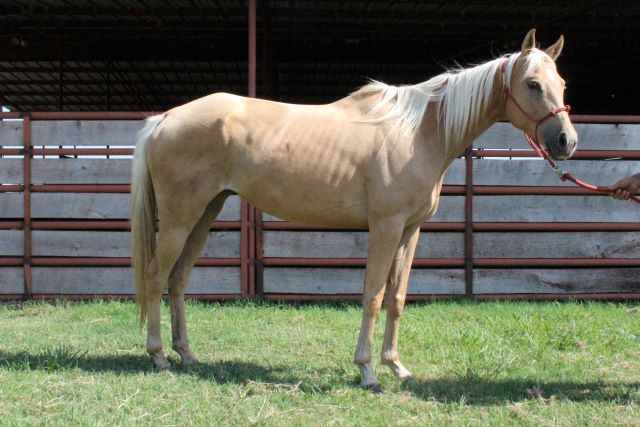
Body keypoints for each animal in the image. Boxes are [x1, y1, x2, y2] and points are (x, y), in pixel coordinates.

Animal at [132, 30, 576, 392]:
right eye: (533, 84)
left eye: (561, 84)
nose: (566, 141)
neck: (419, 131)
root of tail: (164, 119)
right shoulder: (385, 227)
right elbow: (373, 296)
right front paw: (367, 371)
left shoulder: (410, 231)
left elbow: (397, 297)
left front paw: (396, 366)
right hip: (180, 217)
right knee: (156, 276)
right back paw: (159, 357)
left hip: (205, 212)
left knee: (179, 278)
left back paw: (187, 355)